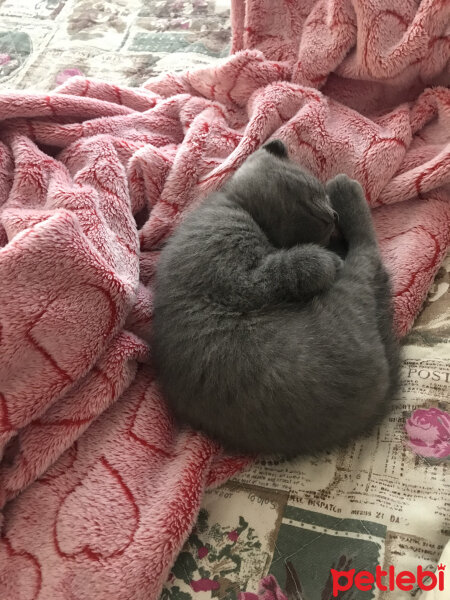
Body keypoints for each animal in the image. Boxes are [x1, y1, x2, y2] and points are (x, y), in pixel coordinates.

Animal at [152, 141, 400, 458]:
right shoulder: (240, 277)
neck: (234, 204)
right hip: (348, 301)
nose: (333, 214)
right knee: (366, 252)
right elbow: (288, 267)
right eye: (315, 190)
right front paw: (325, 259)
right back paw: (347, 192)